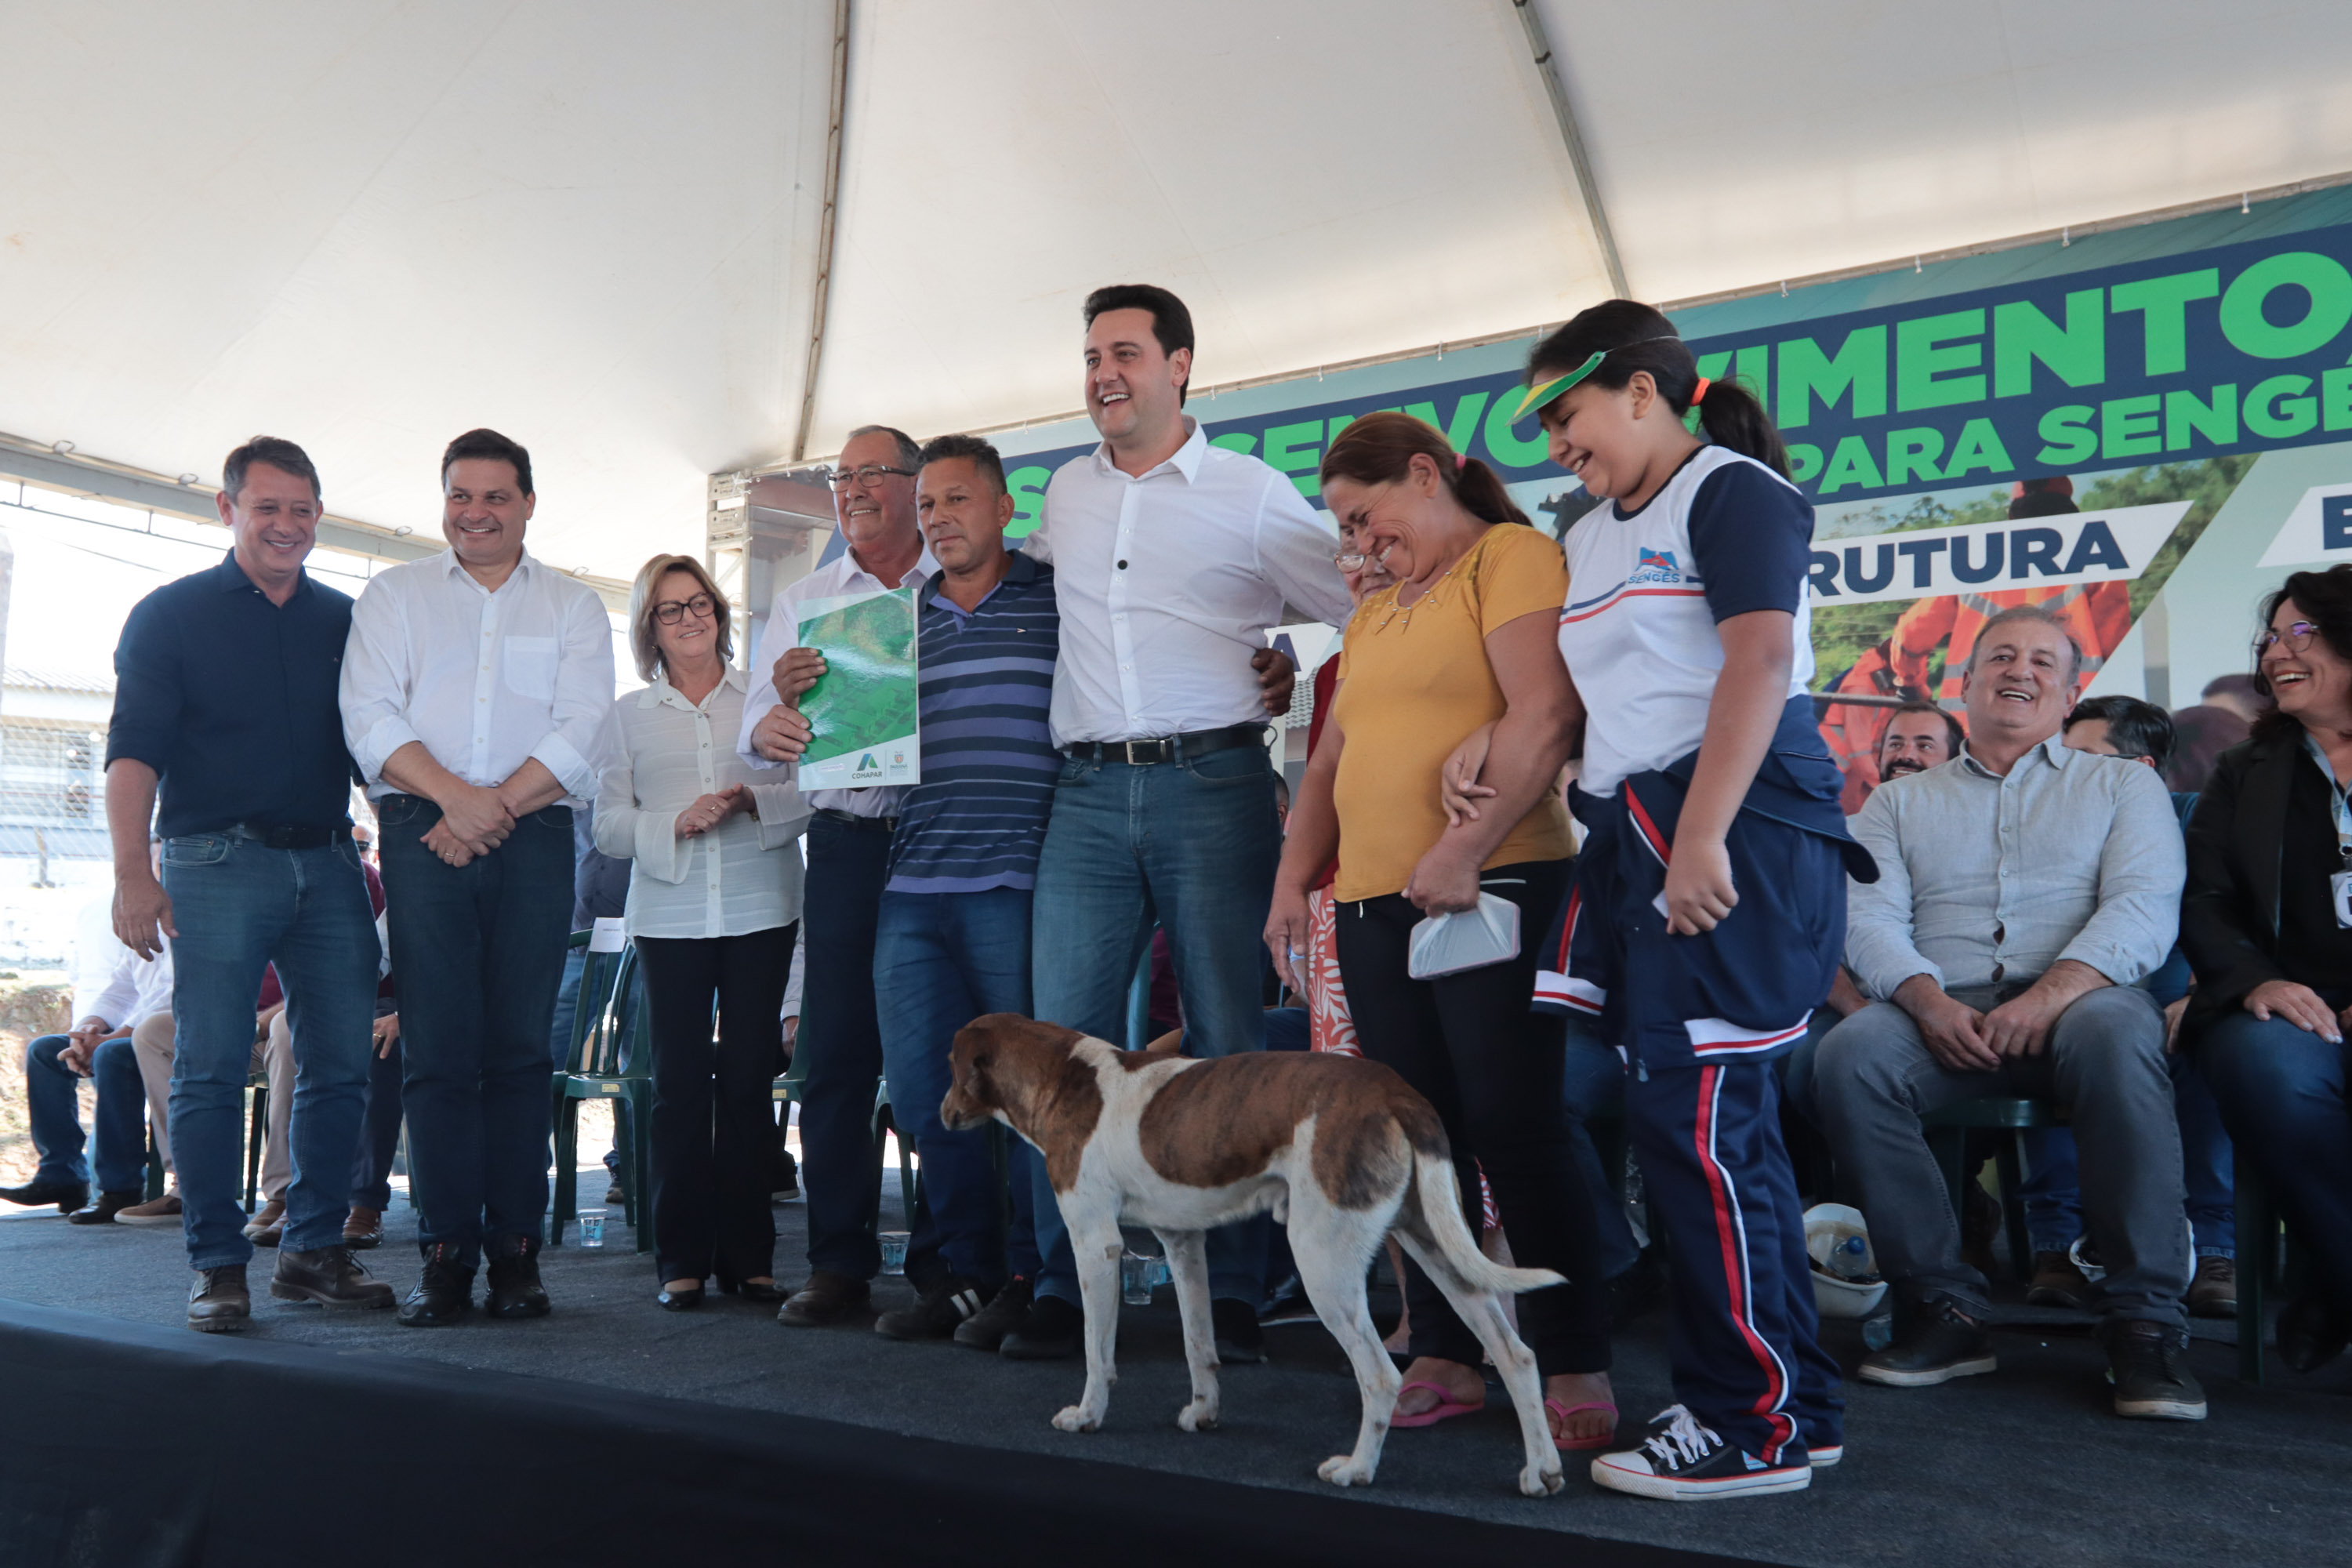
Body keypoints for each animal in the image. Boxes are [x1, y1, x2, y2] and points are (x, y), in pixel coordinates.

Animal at [931, 1020, 1562, 1495]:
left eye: (951, 1065)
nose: (939, 1114)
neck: (1068, 1078)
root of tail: (1397, 1094)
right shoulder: (1182, 1242)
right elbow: (1198, 1344)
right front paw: (1203, 1413)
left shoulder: (1095, 1243)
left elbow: (1096, 1352)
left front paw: (1088, 1417)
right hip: (1437, 1244)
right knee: (1517, 1354)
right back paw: (1542, 1471)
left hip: (1323, 1262)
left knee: (1381, 1375)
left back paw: (1357, 1470)